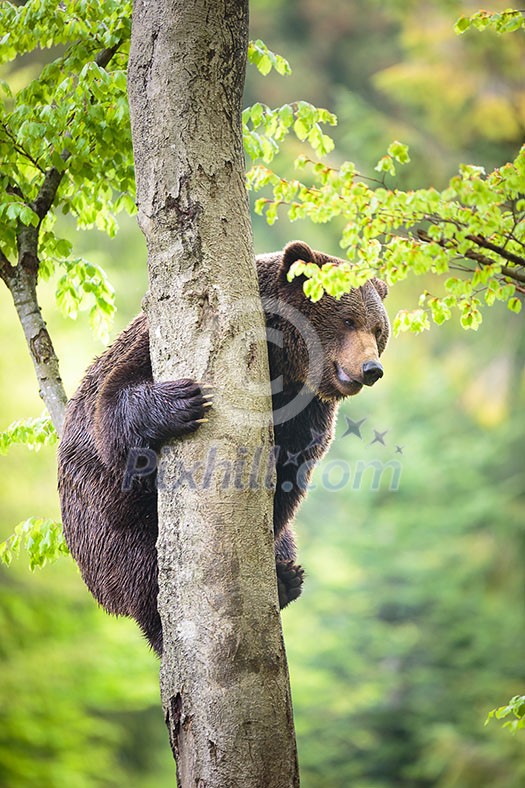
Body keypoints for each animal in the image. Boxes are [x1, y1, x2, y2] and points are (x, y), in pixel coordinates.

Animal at [57, 240, 386, 652]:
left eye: (378, 328)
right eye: (347, 320)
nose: (371, 368)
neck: (280, 361)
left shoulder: (305, 408)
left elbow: (290, 474)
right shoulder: (154, 343)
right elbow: (113, 410)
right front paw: (185, 399)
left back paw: (286, 578)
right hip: (108, 526)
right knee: (142, 571)